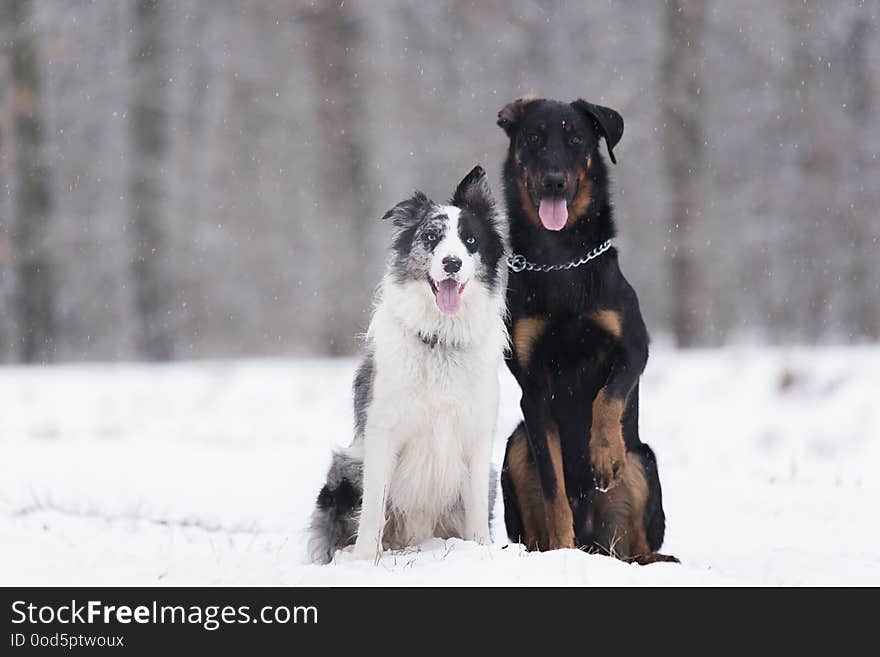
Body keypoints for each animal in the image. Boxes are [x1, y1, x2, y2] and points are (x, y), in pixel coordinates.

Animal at [308, 167, 508, 560]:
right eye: (431, 236)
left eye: (470, 240)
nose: (451, 263)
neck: (440, 339)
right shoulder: (381, 432)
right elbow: (373, 507)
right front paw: (364, 560)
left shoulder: (477, 436)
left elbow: (477, 508)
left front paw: (481, 552)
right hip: (345, 466)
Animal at [498, 96, 676, 564]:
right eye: (534, 138)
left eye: (576, 139)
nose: (554, 182)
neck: (560, 258)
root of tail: (597, 545)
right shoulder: (533, 390)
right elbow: (554, 490)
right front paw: (561, 548)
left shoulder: (634, 347)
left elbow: (607, 398)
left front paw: (604, 453)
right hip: (516, 446)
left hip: (644, 462)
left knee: (643, 545)